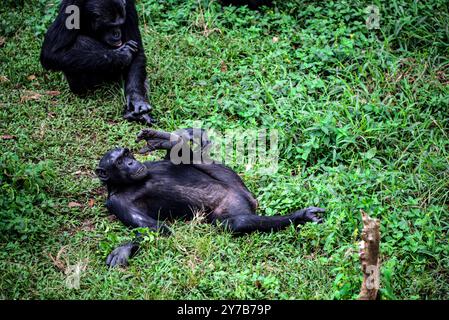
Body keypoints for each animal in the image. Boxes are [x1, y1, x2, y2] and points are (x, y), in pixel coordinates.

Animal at [96, 128, 324, 268]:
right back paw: (301, 216)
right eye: (118, 162)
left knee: (194, 158)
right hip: (232, 204)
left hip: (233, 180)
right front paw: (124, 249)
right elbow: (156, 228)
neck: (127, 184)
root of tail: (250, 199)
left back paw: (165, 140)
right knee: (236, 223)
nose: (131, 163)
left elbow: (176, 161)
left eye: (127, 156)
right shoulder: (117, 204)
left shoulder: (150, 165)